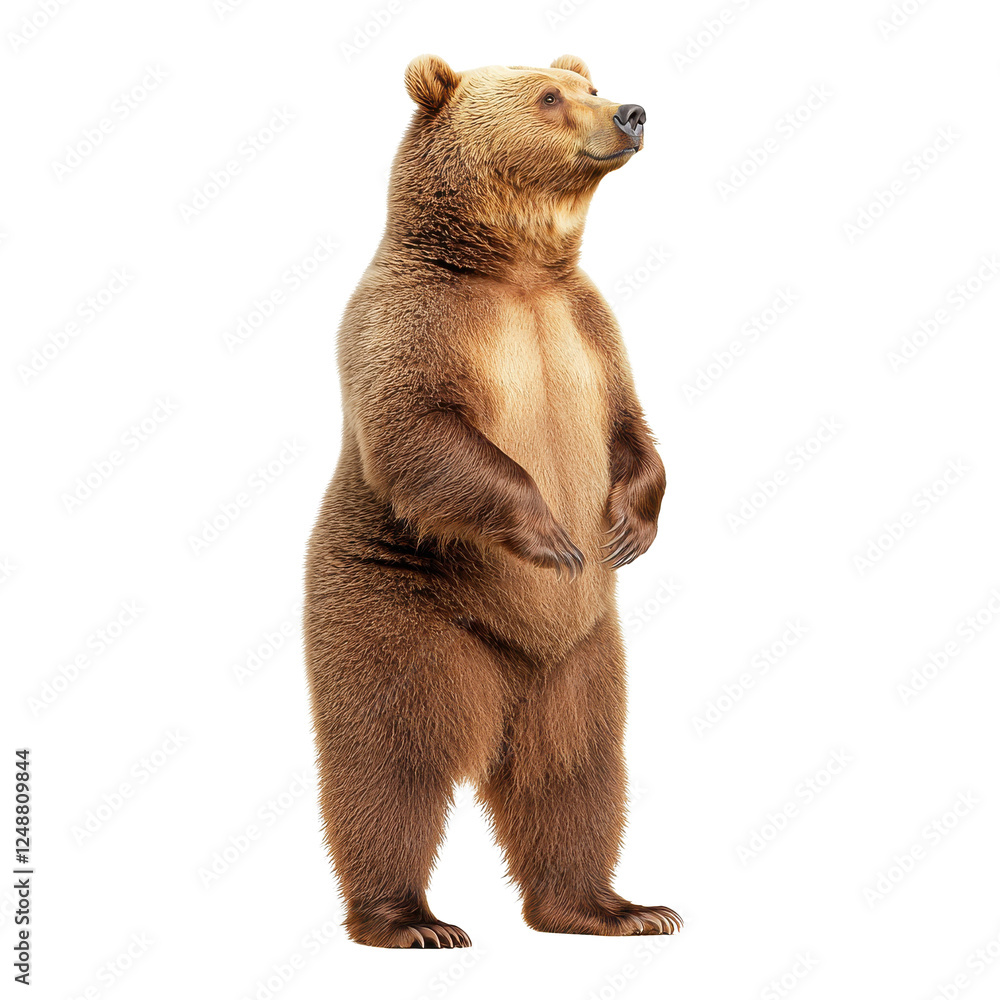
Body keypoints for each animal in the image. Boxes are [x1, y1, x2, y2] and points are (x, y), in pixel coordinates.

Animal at [304, 53, 679, 949]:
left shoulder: (590, 330)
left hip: (582, 660)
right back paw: (408, 920)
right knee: (391, 763)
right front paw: (557, 539)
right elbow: (420, 428)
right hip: (400, 613)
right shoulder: (414, 321)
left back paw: (612, 907)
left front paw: (627, 527)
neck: (515, 273)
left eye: (589, 85)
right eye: (549, 97)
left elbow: (631, 427)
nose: (633, 111)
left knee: (576, 770)